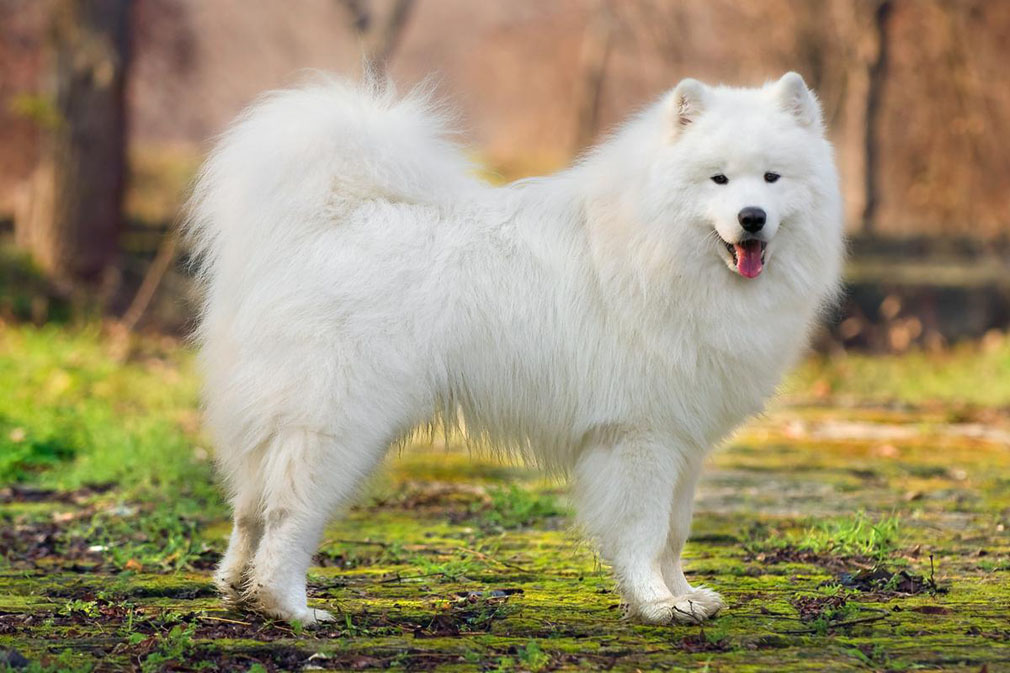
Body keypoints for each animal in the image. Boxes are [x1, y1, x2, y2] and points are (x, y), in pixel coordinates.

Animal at [187, 70, 844, 622]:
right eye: (719, 179)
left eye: (772, 177)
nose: (752, 217)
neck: (658, 246)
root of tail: (327, 219)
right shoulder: (639, 436)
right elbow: (644, 531)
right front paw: (657, 605)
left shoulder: (683, 440)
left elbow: (674, 533)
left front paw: (684, 595)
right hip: (338, 422)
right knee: (289, 515)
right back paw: (290, 609)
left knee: (250, 506)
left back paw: (238, 589)